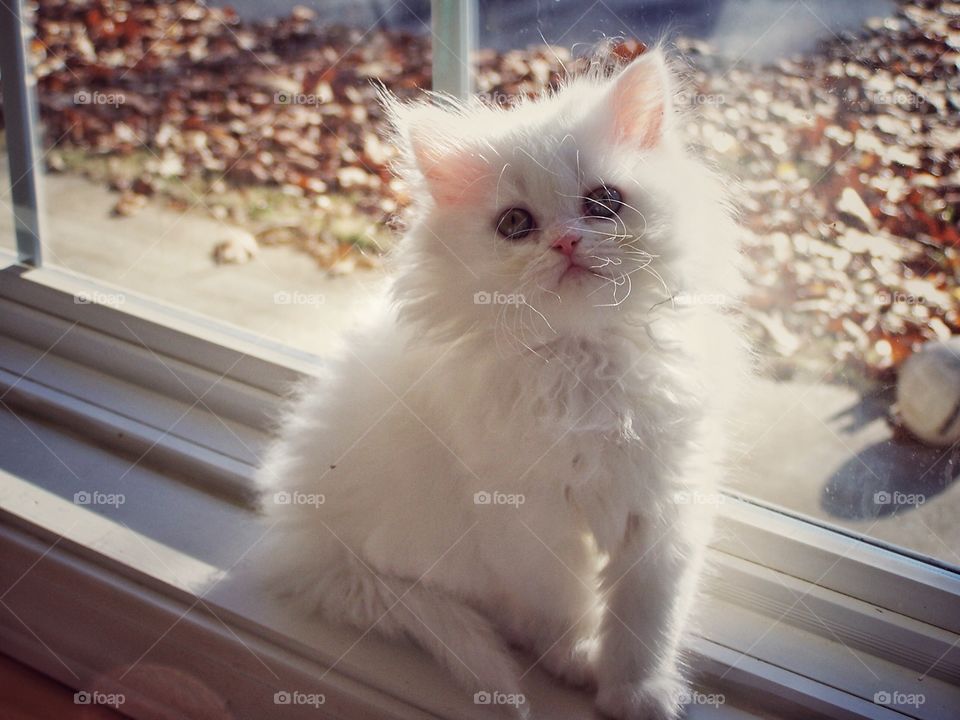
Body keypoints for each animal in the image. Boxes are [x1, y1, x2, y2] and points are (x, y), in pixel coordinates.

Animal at [251, 52, 748, 720]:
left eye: (604, 202)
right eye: (516, 224)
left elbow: (646, 622)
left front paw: (636, 695)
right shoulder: (527, 516)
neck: (581, 363)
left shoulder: (662, 505)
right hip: (429, 541)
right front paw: (576, 661)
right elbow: (561, 601)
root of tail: (308, 547)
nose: (566, 240)